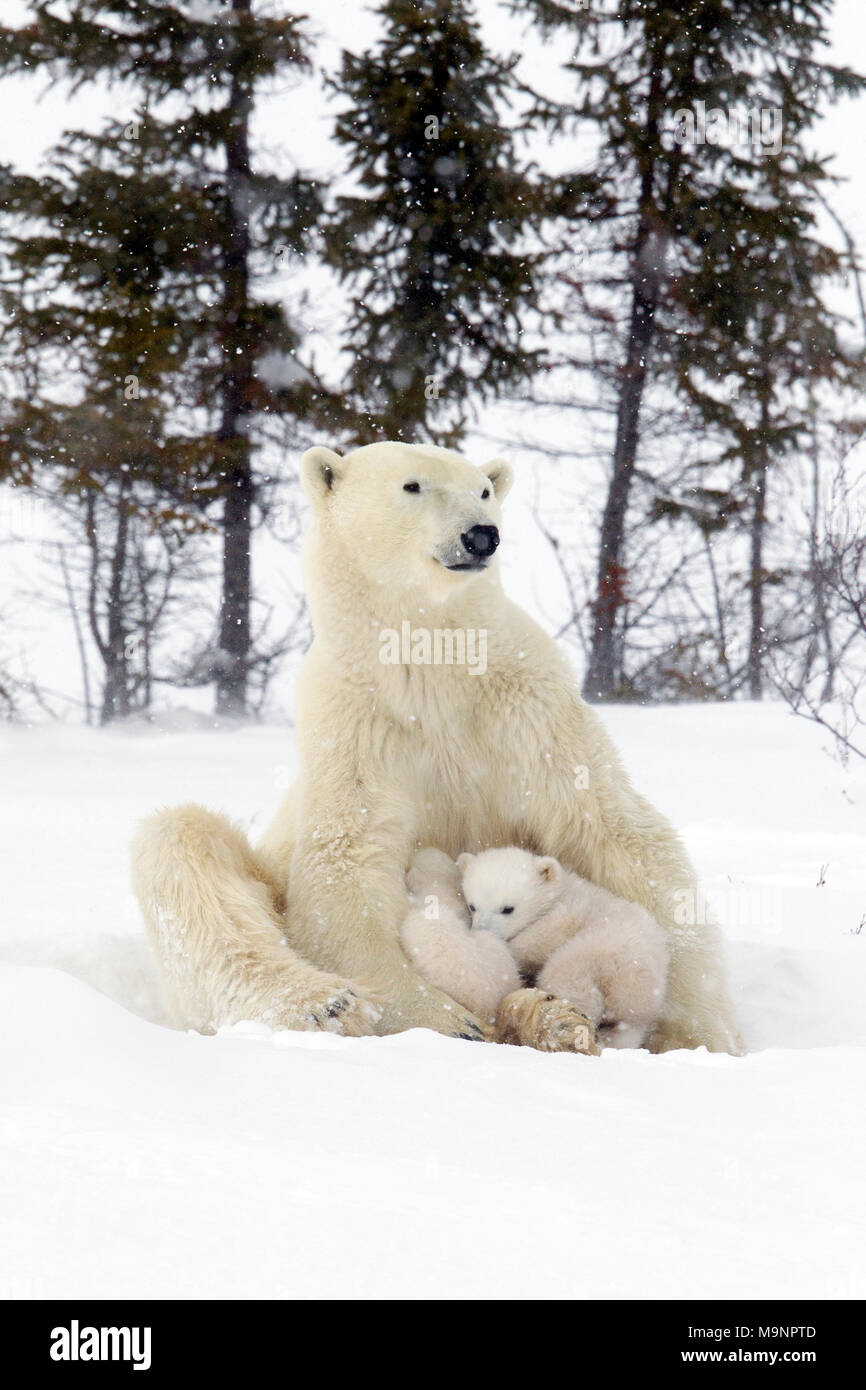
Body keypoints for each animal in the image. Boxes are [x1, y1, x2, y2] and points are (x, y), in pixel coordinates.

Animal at [131, 441, 742, 1054]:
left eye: (484, 490)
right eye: (413, 485)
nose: (481, 535)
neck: (433, 664)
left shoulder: (531, 709)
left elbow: (610, 827)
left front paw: (699, 1033)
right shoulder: (353, 723)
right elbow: (346, 865)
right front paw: (447, 1020)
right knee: (183, 852)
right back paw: (326, 1003)